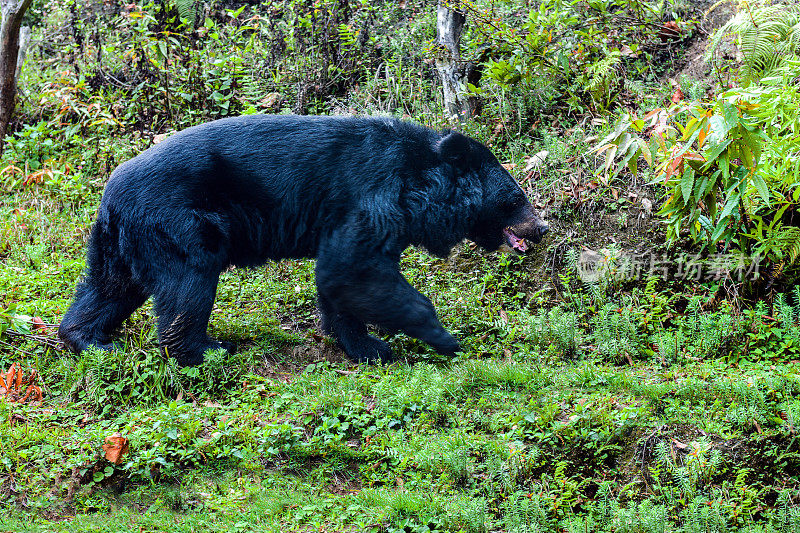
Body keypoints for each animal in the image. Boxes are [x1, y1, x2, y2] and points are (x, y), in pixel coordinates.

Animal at [59, 115, 552, 366]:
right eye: (516, 198)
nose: (542, 228)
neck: (421, 186)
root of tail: (110, 196)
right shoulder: (372, 196)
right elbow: (353, 270)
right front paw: (441, 338)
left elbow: (341, 280)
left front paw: (365, 346)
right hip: (178, 224)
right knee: (187, 286)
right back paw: (204, 350)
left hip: (122, 244)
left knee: (109, 289)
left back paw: (89, 340)